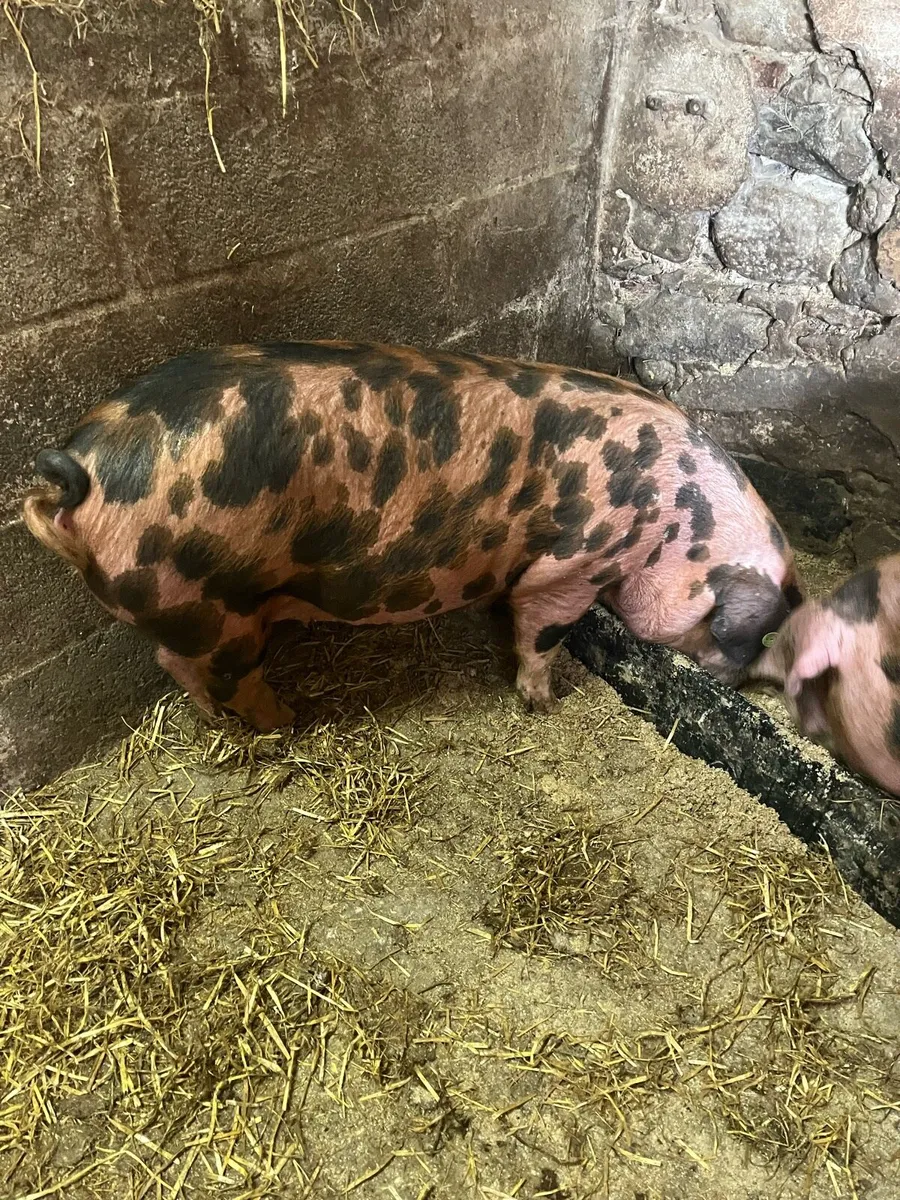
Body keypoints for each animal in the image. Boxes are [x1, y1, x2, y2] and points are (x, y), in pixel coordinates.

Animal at [22, 341, 802, 732]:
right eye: (757, 632)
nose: (740, 682)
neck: (672, 521)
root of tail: (81, 476)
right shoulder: (570, 565)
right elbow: (543, 632)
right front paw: (545, 702)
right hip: (211, 605)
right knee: (210, 670)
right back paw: (287, 723)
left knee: (174, 665)